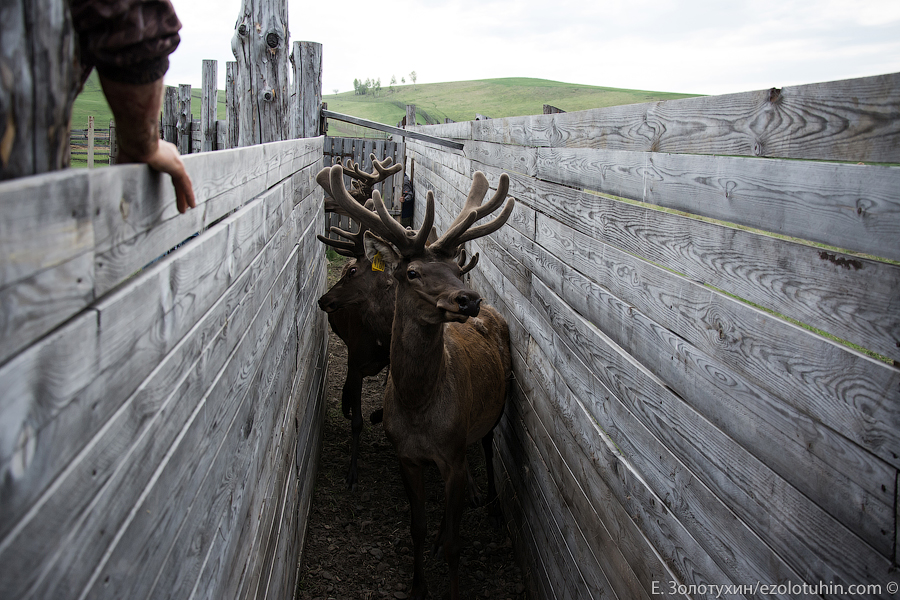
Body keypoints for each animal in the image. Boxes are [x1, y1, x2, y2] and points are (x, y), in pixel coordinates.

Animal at [316, 163, 512, 600]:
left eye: (456, 271)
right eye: (411, 271)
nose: (468, 300)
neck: (419, 409)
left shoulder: (452, 457)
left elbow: (456, 542)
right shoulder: (407, 456)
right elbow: (417, 527)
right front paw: (417, 585)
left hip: (492, 414)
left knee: (488, 447)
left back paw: (492, 503)